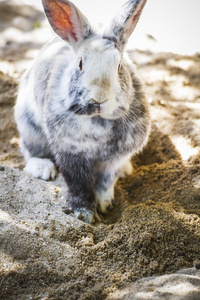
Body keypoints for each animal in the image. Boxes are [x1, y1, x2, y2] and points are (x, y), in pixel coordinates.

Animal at [14, 0, 151, 223]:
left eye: (119, 66)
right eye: (80, 64)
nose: (99, 97)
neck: (98, 119)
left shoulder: (114, 158)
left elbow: (105, 182)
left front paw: (105, 205)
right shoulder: (71, 154)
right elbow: (78, 184)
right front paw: (84, 214)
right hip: (29, 126)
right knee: (30, 151)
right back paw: (43, 169)